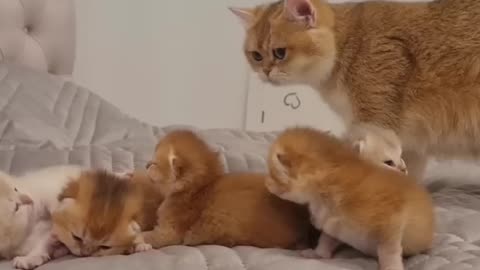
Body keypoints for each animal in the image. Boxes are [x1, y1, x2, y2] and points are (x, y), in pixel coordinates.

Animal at [232, 0, 480, 181]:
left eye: (280, 53)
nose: (264, 72)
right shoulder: (412, 144)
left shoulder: (378, 126)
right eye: (256, 56)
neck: (349, 42)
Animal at [266, 127, 436, 270]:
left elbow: (388, 251)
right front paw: (318, 254)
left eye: (272, 174)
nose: (266, 183)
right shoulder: (334, 224)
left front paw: (391, 267)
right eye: (389, 162)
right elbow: (326, 240)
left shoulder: (392, 220)